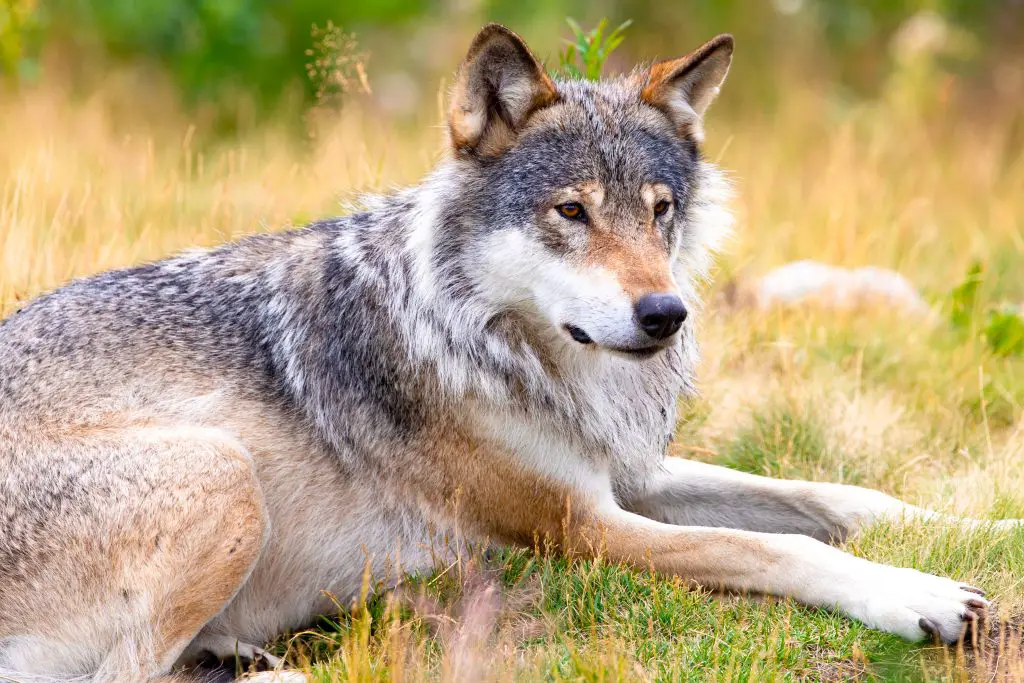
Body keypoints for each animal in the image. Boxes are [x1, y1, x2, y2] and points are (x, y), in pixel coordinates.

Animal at [0, 24, 1015, 679]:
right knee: (124, 674)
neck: (492, 339)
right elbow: (775, 546)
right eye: (571, 212)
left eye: (660, 210)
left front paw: (990, 526)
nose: (665, 313)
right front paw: (917, 596)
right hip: (223, 469)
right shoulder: (580, 526)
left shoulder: (623, 474)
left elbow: (837, 496)